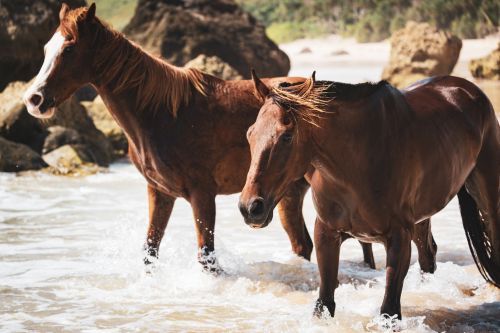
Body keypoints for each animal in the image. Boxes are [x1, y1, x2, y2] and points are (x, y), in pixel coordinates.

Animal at [20, 3, 378, 270]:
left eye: (69, 49)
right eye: (47, 47)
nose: (34, 100)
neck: (162, 114)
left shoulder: (202, 195)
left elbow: (207, 259)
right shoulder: (160, 193)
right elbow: (150, 252)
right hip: (287, 195)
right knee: (305, 245)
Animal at [240, 73, 498, 320]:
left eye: (286, 136)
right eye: (250, 133)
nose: (250, 207)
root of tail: (467, 89)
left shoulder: (398, 238)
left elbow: (389, 310)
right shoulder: (327, 233)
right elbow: (324, 304)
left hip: (486, 197)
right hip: (422, 218)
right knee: (428, 255)